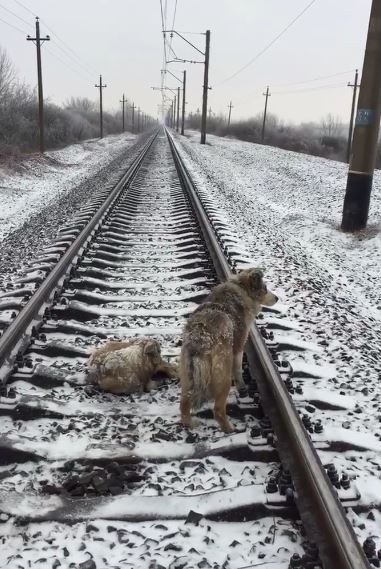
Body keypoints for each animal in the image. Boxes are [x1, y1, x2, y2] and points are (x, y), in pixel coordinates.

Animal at [178, 266, 276, 430]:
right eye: (265, 288)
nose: (277, 298)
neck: (240, 288)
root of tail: (200, 341)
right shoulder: (239, 346)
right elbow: (238, 369)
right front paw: (242, 387)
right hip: (223, 375)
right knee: (218, 410)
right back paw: (230, 430)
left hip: (187, 375)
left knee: (184, 405)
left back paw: (191, 423)